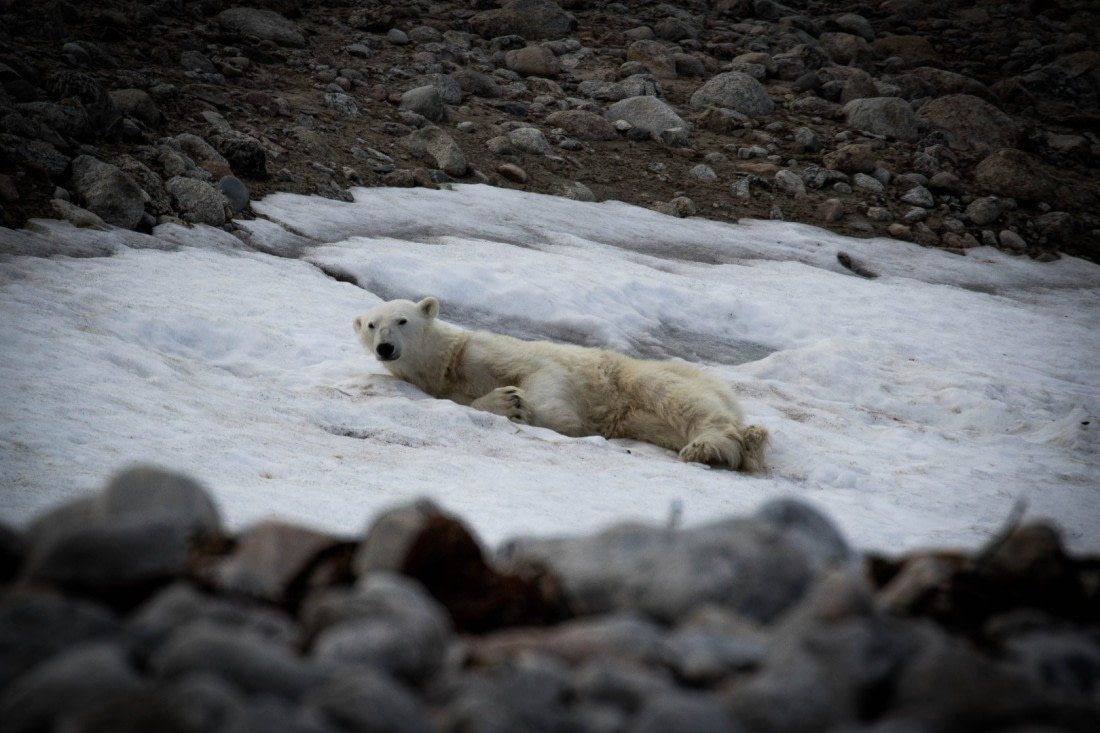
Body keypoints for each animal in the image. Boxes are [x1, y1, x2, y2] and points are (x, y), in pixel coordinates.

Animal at [353, 297, 768, 472]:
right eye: (372, 324)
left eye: (402, 320)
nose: (386, 347)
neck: (446, 362)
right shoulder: (442, 387)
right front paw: (505, 402)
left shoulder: (485, 351)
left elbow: (541, 374)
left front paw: (531, 409)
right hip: (638, 419)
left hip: (635, 376)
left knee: (676, 398)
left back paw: (709, 447)